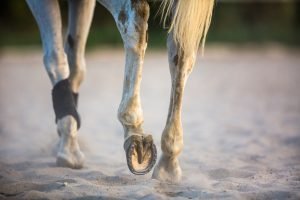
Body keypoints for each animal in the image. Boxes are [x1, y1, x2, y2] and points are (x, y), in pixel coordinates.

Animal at [25, 0, 213, 183]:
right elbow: (75, 63)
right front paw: (67, 136)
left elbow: (55, 58)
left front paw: (68, 147)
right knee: (181, 48)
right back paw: (168, 162)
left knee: (136, 20)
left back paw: (134, 130)